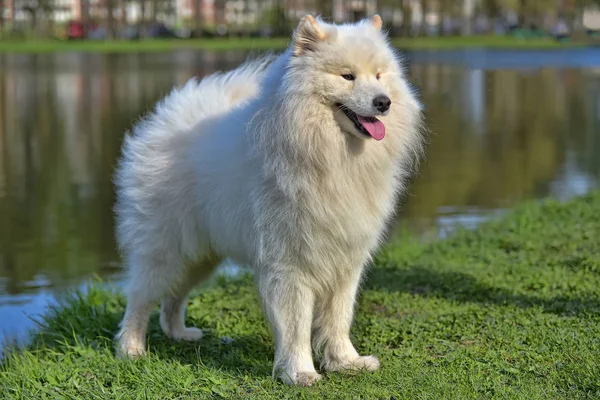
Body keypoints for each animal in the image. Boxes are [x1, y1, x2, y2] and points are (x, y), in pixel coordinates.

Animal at [115, 14, 424, 386]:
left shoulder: (345, 259)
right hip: (166, 249)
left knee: (173, 297)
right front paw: (300, 372)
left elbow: (338, 317)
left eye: (379, 75)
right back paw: (131, 348)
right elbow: (297, 324)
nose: (383, 102)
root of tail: (167, 119)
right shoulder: (289, 263)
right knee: (140, 297)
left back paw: (180, 333)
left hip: (200, 255)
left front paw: (346, 362)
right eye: (347, 76)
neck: (329, 155)